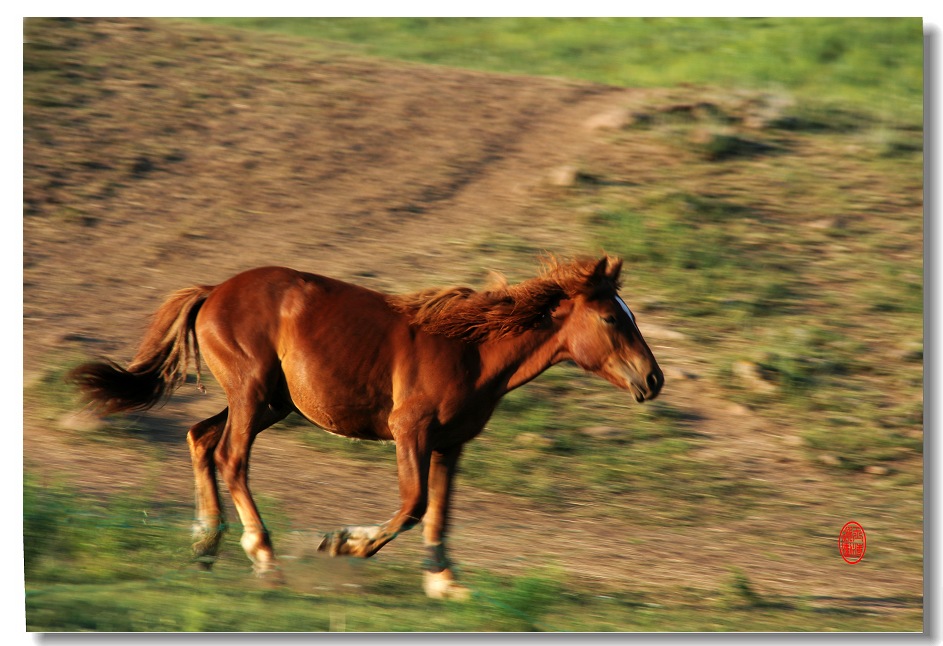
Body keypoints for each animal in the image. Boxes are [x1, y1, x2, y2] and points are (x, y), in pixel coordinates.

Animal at [70, 254, 664, 604]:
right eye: (611, 318)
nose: (653, 379)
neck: (471, 350)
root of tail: (214, 290)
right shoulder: (411, 431)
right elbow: (413, 504)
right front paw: (342, 544)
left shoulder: (451, 443)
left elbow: (439, 512)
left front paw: (444, 582)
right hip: (252, 392)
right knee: (230, 458)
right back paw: (263, 558)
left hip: (271, 403)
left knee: (200, 437)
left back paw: (205, 545)